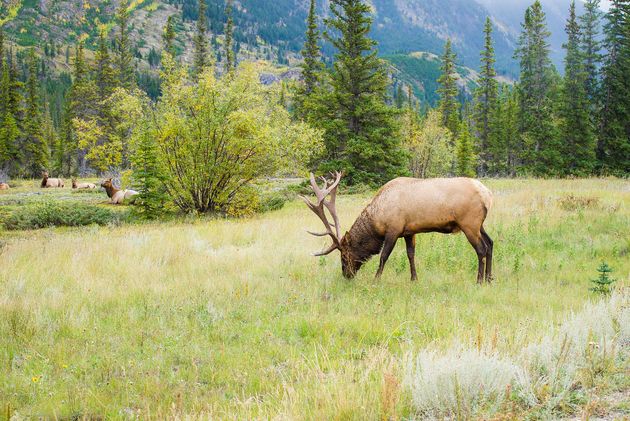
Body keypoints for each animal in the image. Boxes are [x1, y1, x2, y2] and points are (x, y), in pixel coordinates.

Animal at [304, 172, 496, 284]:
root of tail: (488, 194)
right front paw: (414, 279)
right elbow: (411, 254)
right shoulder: (409, 231)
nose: (346, 275)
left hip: (469, 223)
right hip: (480, 225)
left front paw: (376, 280)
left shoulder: (393, 229)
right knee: (491, 243)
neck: (377, 220)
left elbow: (383, 256)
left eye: (344, 255)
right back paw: (489, 278)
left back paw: (479, 280)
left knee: (481, 248)